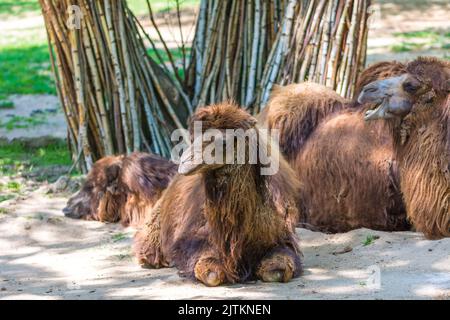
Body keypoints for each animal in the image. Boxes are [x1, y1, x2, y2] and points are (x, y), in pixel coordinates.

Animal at [134, 103, 302, 288]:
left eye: (223, 141)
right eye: (193, 137)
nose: (184, 162)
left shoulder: (283, 237)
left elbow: (276, 271)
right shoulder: (192, 240)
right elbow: (212, 274)